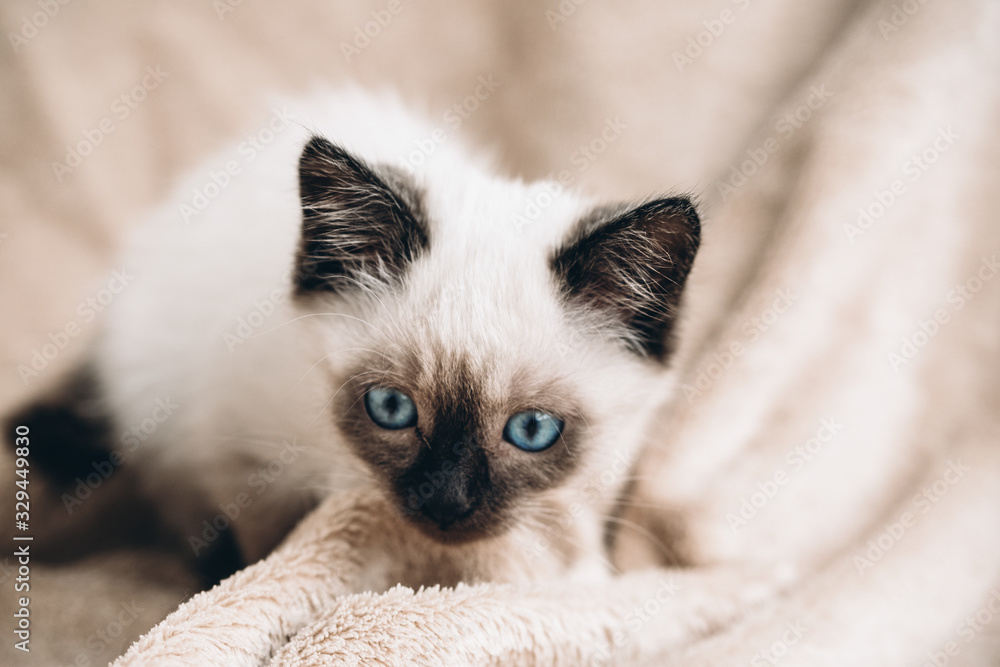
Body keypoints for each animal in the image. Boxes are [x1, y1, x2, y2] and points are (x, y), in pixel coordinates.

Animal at [41, 88, 696, 580]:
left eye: (532, 431)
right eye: (390, 408)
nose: (446, 503)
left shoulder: (611, 465)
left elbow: (582, 535)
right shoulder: (239, 450)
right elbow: (265, 548)